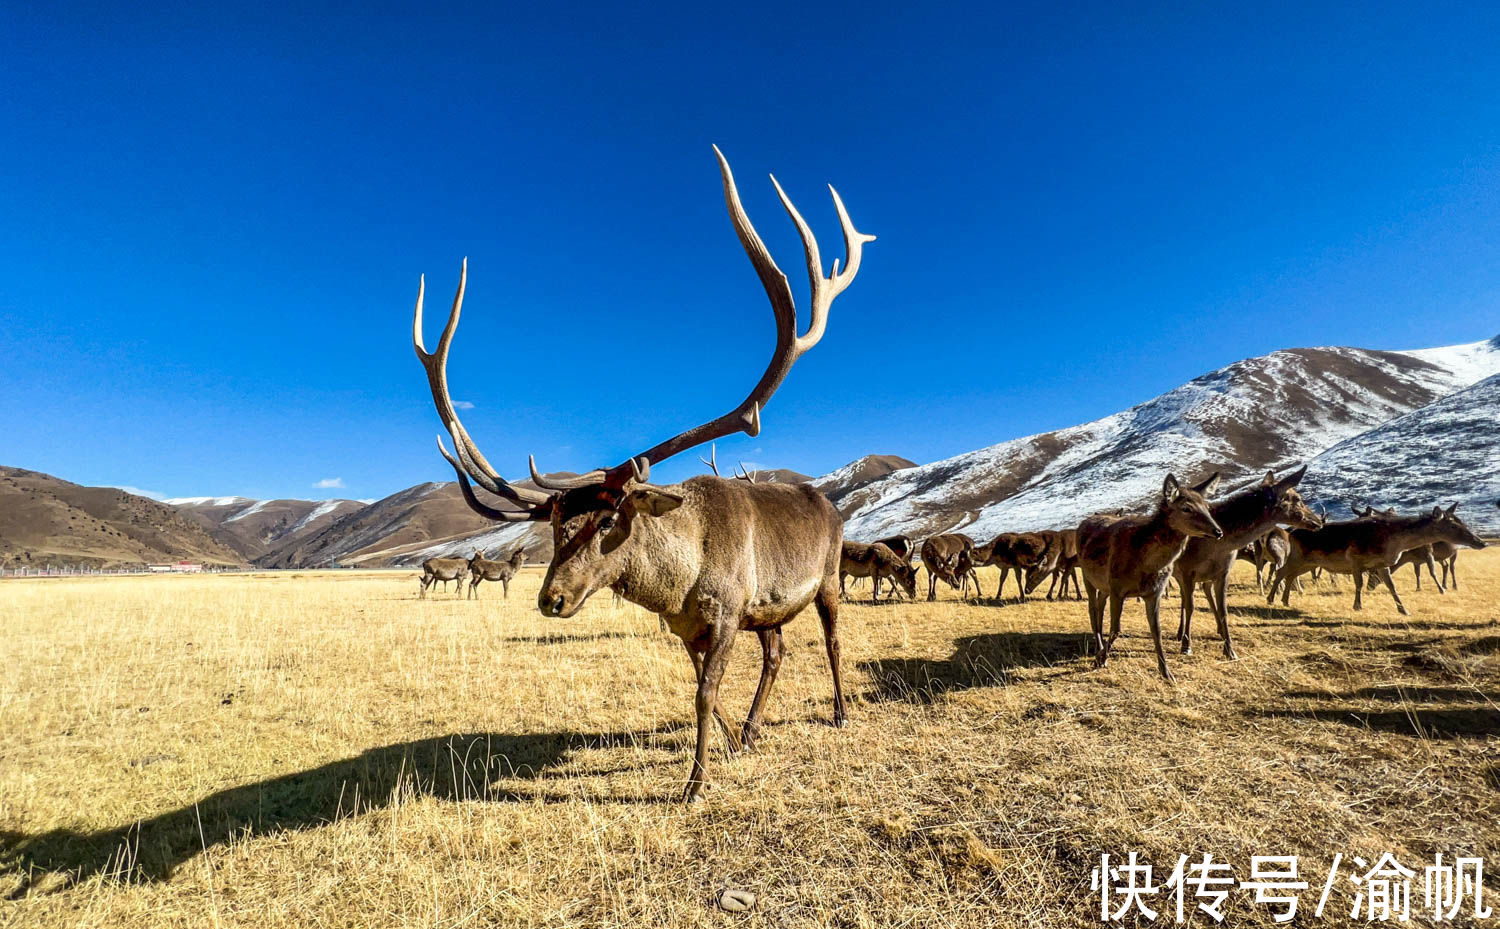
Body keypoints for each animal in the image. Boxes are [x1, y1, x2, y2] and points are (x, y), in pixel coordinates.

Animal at [414, 143, 876, 798]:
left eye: (608, 522)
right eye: (554, 526)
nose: (551, 598)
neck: (680, 579)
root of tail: (829, 504)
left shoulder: (729, 611)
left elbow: (705, 693)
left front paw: (695, 781)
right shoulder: (690, 626)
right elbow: (704, 690)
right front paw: (731, 741)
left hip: (831, 576)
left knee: (834, 642)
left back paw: (838, 712)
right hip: (770, 610)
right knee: (778, 651)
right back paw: (755, 728)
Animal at [1080, 480, 1218, 684]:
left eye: (1207, 507)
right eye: (1186, 508)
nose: (1218, 531)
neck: (1145, 564)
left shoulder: (1154, 592)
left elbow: (1157, 631)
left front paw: (1167, 672)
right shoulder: (1117, 588)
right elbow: (1116, 629)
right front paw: (1100, 660)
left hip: (1103, 586)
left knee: (1099, 606)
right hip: (1086, 575)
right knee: (1091, 608)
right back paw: (1098, 647)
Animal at [1164, 468, 1320, 657]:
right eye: (1297, 498)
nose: (1318, 521)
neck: (1220, 545)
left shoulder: (1224, 571)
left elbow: (1223, 609)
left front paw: (1229, 649)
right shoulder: (1187, 569)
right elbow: (1190, 606)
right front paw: (1187, 646)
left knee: (1202, 592)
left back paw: (1212, 630)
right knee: (1184, 597)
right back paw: (1181, 634)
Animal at [1266, 504, 1488, 615]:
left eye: (1461, 522)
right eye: (1452, 525)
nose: (1481, 542)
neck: (1393, 542)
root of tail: (1291, 532)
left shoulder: (1382, 564)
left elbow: (1391, 586)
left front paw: (1403, 609)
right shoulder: (1355, 558)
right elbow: (1358, 583)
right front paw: (1357, 606)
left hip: (1309, 562)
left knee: (1290, 575)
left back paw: (1285, 600)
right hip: (1297, 556)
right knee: (1281, 571)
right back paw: (1270, 599)